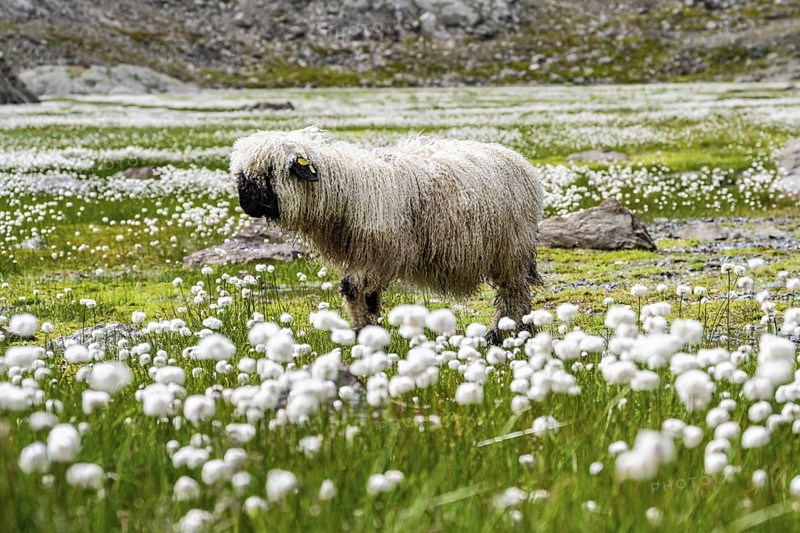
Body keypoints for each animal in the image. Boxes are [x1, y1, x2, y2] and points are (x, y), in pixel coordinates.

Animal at [231, 127, 544, 343]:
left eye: (269, 171)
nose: (246, 204)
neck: (345, 191)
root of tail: (521, 162)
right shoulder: (368, 257)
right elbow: (366, 295)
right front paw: (368, 332)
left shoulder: (380, 254)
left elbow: (352, 289)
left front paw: (363, 331)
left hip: (511, 248)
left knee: (513, 293)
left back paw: (505, 333)